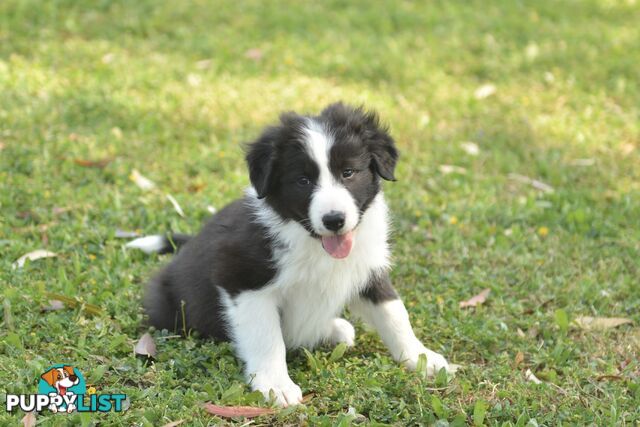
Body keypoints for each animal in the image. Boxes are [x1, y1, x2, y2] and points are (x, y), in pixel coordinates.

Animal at [127, 102, 450, 406]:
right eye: (303, 180)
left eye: (348, 172)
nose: (334, 220)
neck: (308, 239)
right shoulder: (242, 281)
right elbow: (268, 338)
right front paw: (276, 386)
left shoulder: (367, 268)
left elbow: (394, 313)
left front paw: (421, 358)